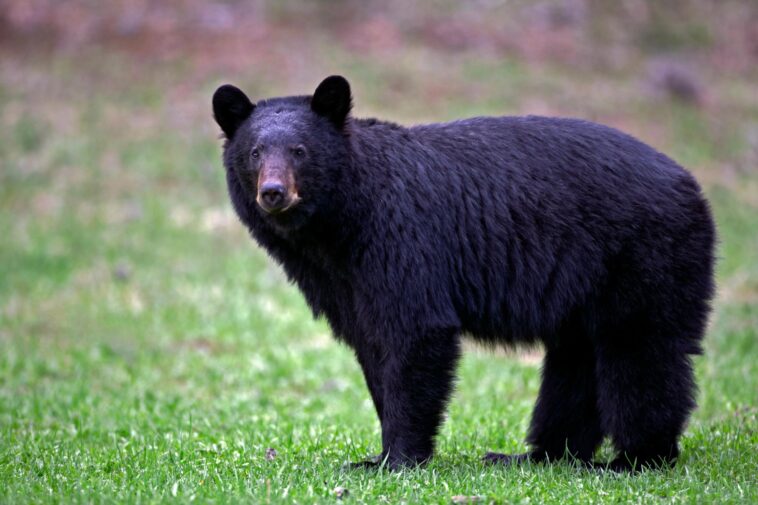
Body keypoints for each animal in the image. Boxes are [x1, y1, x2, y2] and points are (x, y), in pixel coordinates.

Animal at [212, 75, 715, 471]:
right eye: (255, 152)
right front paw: (374, 456)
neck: (339, 224)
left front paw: (397, 460)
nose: (273, 192)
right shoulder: (341, 282)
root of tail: (692, 185)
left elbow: (416, 332)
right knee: (576, 361)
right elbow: (372, 346)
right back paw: (536, 456)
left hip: (644, 257)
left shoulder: (403, 238)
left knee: (639, 352)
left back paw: (633, 459)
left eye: (299, 151)